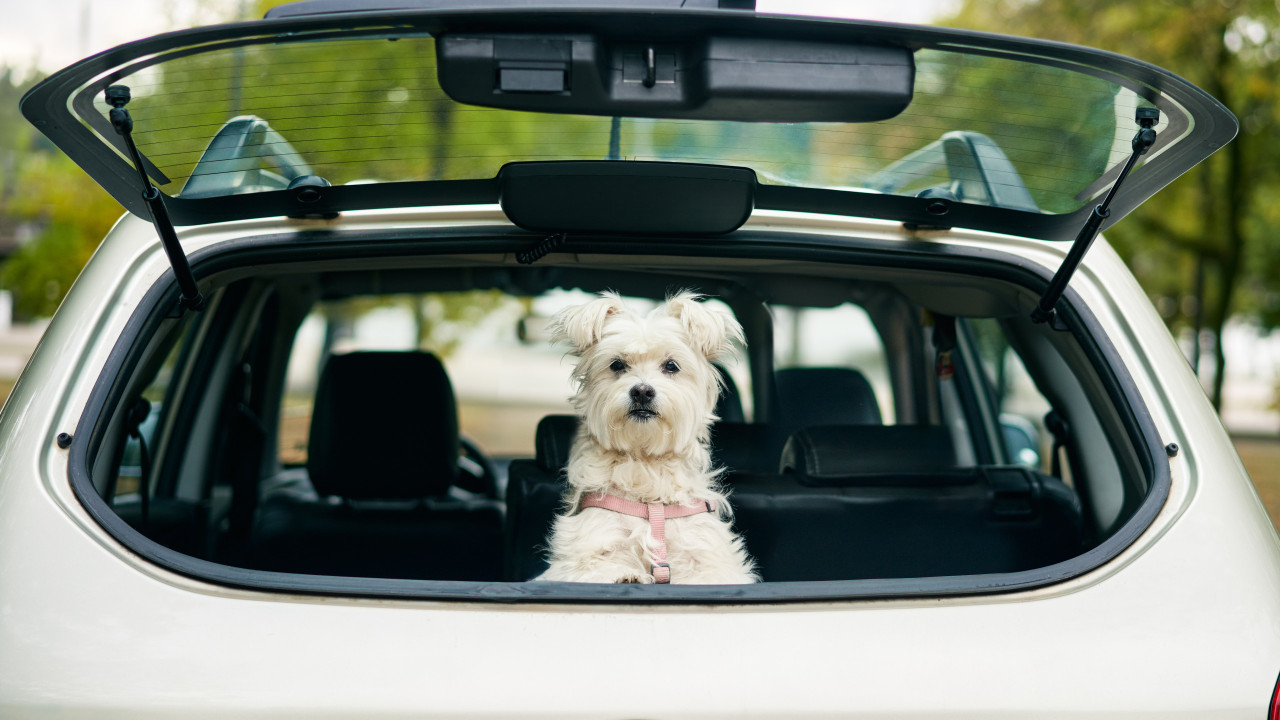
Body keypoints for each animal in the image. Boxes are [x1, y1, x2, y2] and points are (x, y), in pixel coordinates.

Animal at [532, 288, 752, 579]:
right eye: (616, 365)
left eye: (671, 366)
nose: (642, 391)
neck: (645, 464)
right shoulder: (585, 549)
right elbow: (596, 567)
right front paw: (625, 576)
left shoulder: (706, 555)